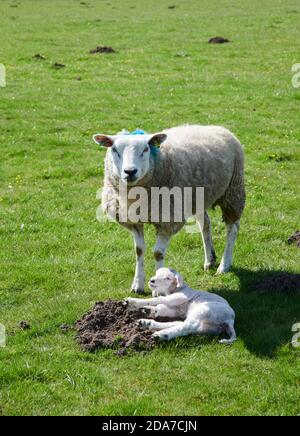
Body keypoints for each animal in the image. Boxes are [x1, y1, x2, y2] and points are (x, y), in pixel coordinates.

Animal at [94, 123, 246, 292]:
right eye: (114, 149)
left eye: (146, 149)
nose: (130, 171)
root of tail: (216, 127)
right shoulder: (134, 222)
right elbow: (139, 251)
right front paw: (137, 285)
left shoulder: (168, 220)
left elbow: (158, 253)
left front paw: (159, 287)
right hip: (198, 197)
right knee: (205, 224)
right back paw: (209, 260)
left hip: (233, 191)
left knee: (232, 229)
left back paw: (224, 265)